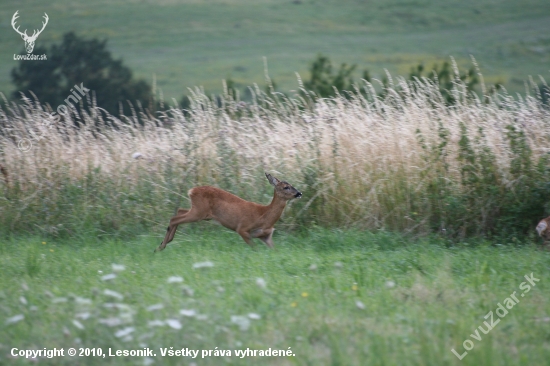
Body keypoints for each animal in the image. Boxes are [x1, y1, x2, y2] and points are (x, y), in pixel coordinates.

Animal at [154, 172, 302, 252]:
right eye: (286, 187)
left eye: (292, 185)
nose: (299, 193)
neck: (264, 216)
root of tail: (191, 191)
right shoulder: (242, 228)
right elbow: (255, 248)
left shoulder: (266, 236)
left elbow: (275, 250)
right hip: (199, 212)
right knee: (174, 219)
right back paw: (161, 246)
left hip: (198, 211)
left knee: (179, 211)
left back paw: (164, 243)